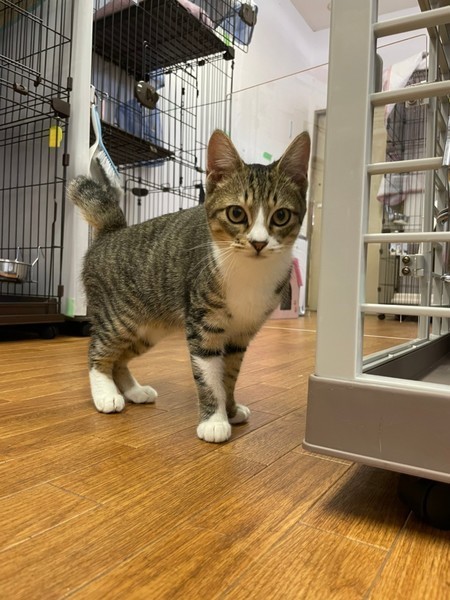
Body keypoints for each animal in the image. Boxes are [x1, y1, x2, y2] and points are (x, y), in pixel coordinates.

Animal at [67, 129, 310, 443]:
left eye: (280, 216)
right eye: (236, 214)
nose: (258, 243)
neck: (249, 272)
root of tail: (112, 231)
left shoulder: (241, 335)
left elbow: (229, 375)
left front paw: (231, 409)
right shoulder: (203, 326)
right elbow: (209, 377)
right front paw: (214, 420)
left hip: (149, 328)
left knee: (119, 359)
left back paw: (135, 391)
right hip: (120, 318)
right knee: (98, 351)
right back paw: (106, 394)